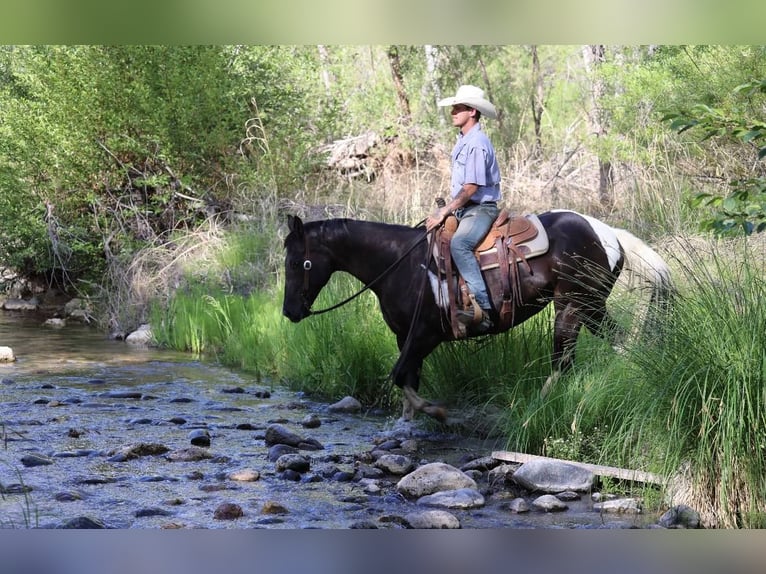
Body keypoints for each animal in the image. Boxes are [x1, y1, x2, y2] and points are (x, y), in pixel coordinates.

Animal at [281, 209, 672, 423]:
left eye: (297, 262)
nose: (289, 312)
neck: (400, 263)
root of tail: (608, 233)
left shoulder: (424, 335)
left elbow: (398, 376)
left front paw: (436, 413)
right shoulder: (405, 336)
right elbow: (408, 380)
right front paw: (407, 424)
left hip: (573, 305)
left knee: (563, 360)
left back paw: (536, 407)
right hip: (591, 306)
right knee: (618, 343)